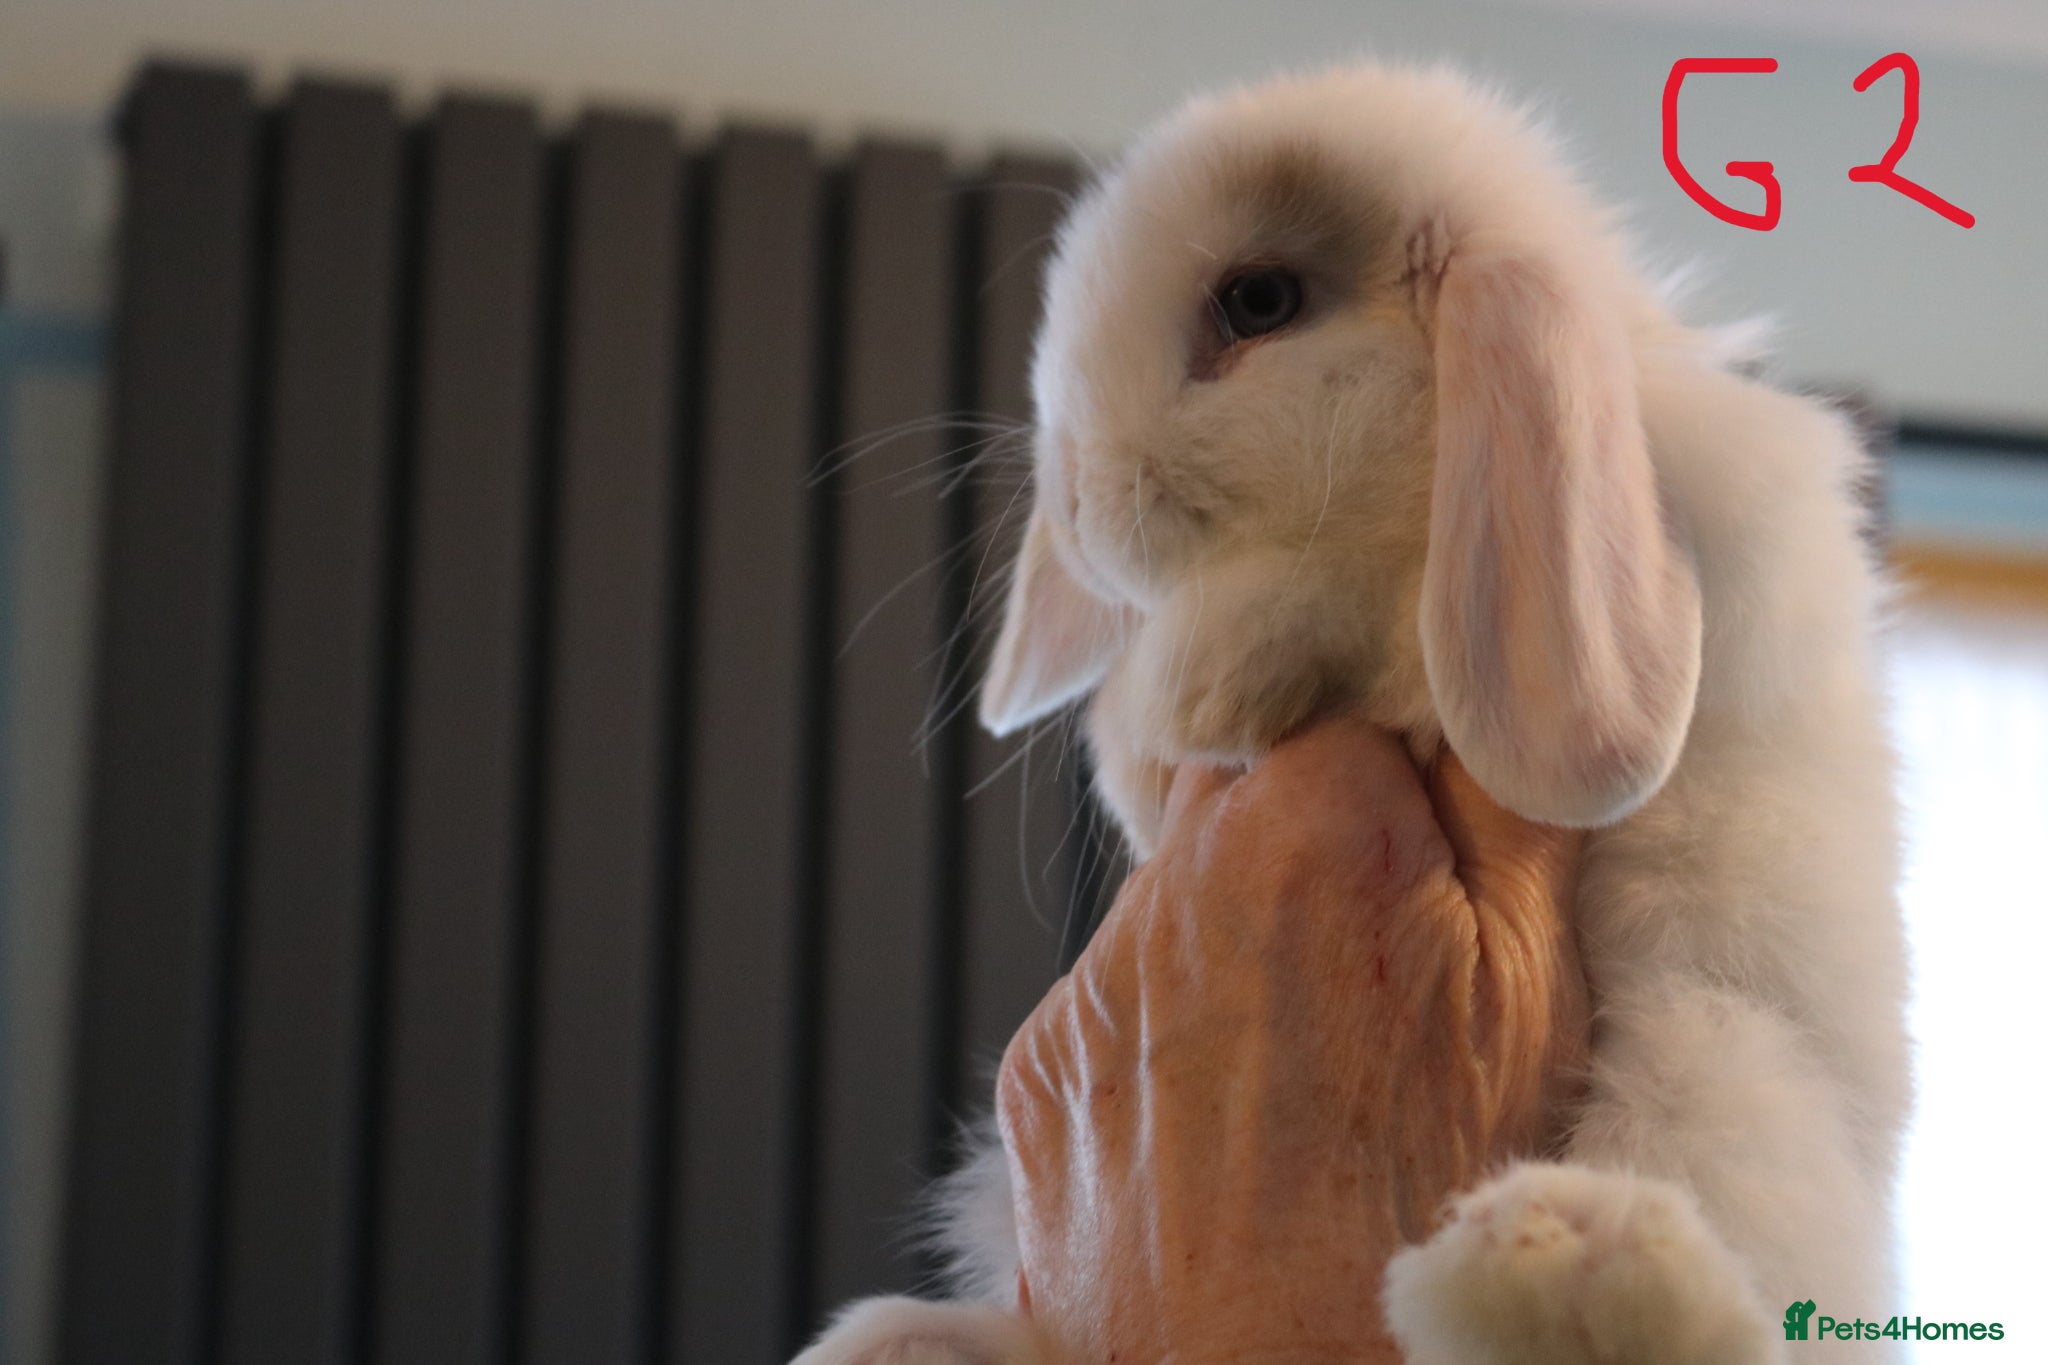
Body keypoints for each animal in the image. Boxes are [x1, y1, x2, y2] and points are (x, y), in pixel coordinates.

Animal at [796, 62, 1910, 1365]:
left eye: (1257, 300)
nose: (1078, 506)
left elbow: (1350, 616)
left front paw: (1207, 668)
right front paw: (1179, 686)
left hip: (1717, 1059)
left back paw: (1553, 1259)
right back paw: (898, 1339)